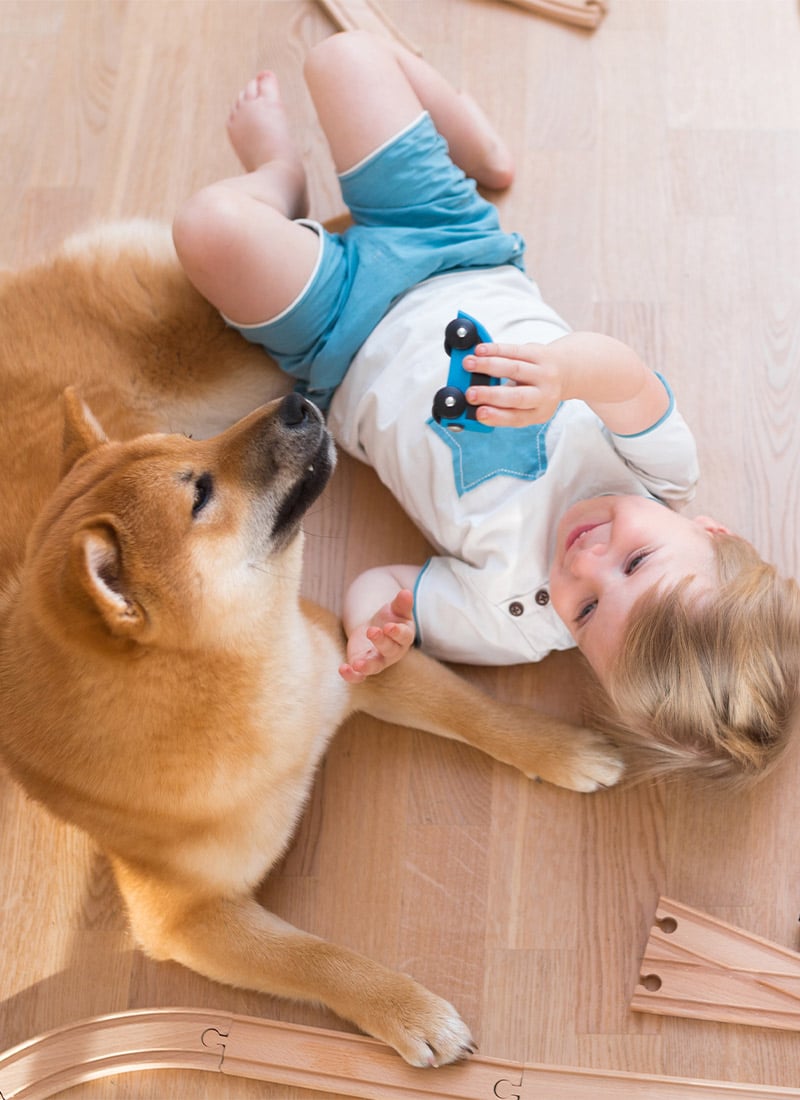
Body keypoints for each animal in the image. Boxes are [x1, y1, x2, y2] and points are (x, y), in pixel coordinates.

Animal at [0, 218, 625, 1069]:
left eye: (188, 448)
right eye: (200, 493)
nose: (298, 407)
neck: (256, 682)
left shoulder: (348, 659)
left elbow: (480, 715)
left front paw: (558, 749)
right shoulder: (189, 919)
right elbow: (316, 958)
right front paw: (405, 1009)